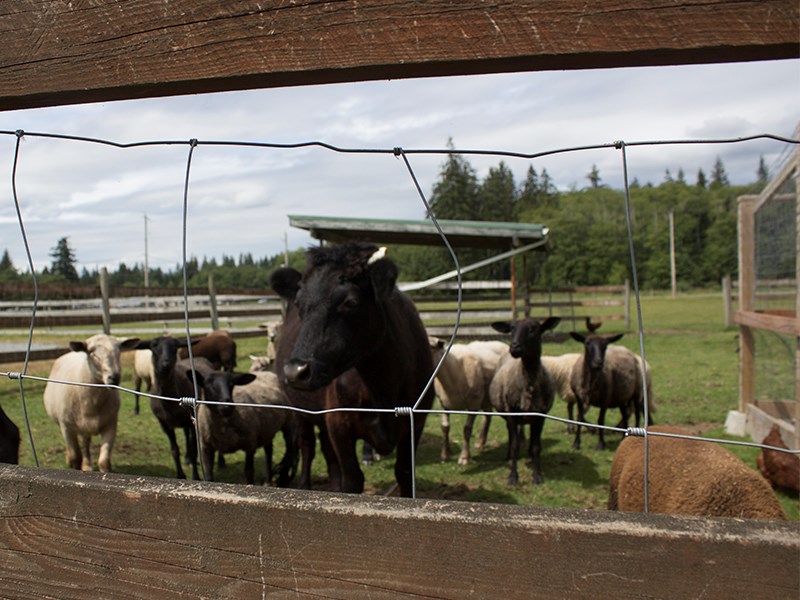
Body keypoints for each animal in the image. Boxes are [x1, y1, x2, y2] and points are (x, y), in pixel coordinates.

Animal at [43, 336, 139, 472]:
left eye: (119, 351)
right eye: (92, 353)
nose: (114, 377)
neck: (91, 403)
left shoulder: (110, 426)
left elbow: (104, 462)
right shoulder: (66, 427)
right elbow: (75, 457)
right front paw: (73, 463)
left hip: (85, 425)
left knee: (85, 442)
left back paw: (87, 465)